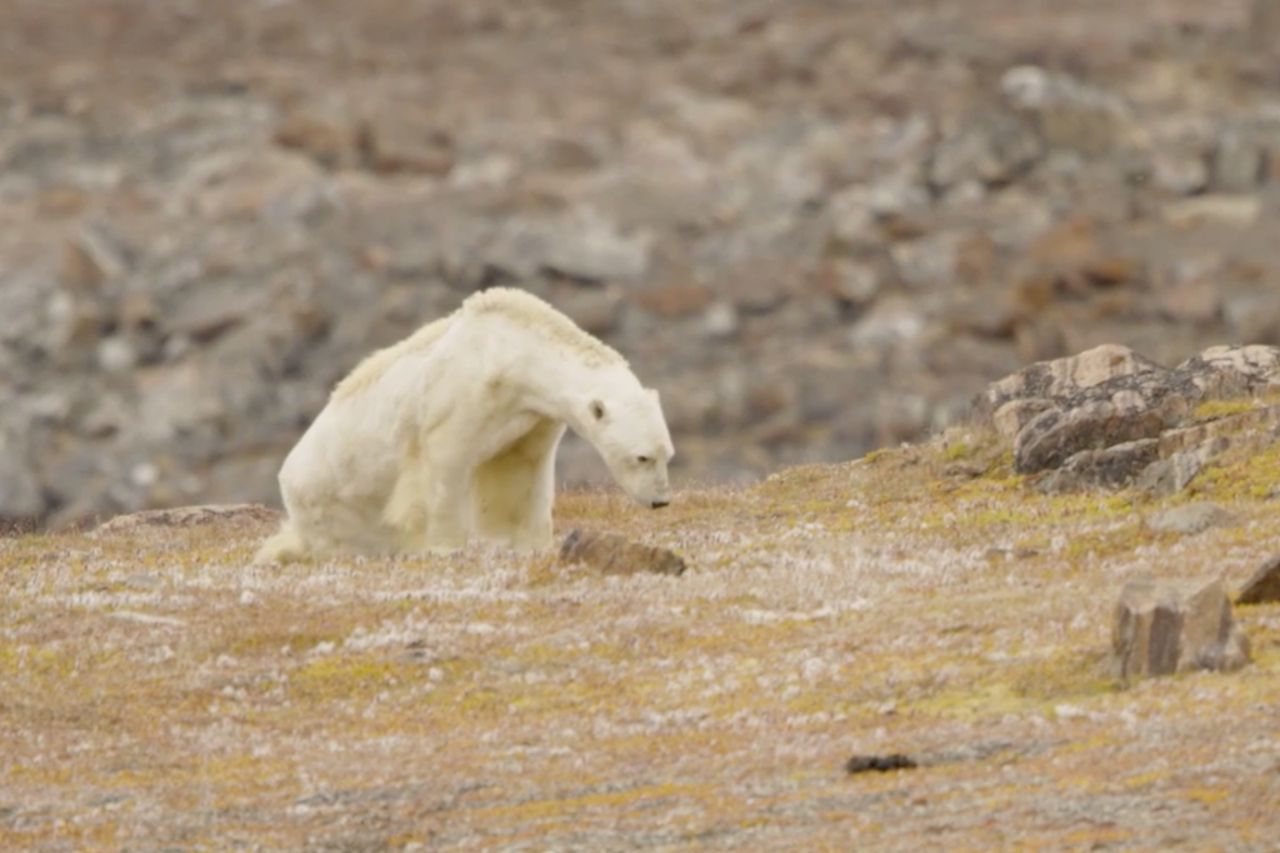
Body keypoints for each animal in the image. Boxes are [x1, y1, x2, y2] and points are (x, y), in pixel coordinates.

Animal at [253, 289, 675, 560]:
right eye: (642, 457)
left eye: (666, 454)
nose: (660, 501)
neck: (513, 354)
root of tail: (285, 476)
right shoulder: (462, 396)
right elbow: (446, 464)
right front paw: (447, 547)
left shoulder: (532, 416)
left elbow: (525, 471)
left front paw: (535, 543)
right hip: (331, 505)